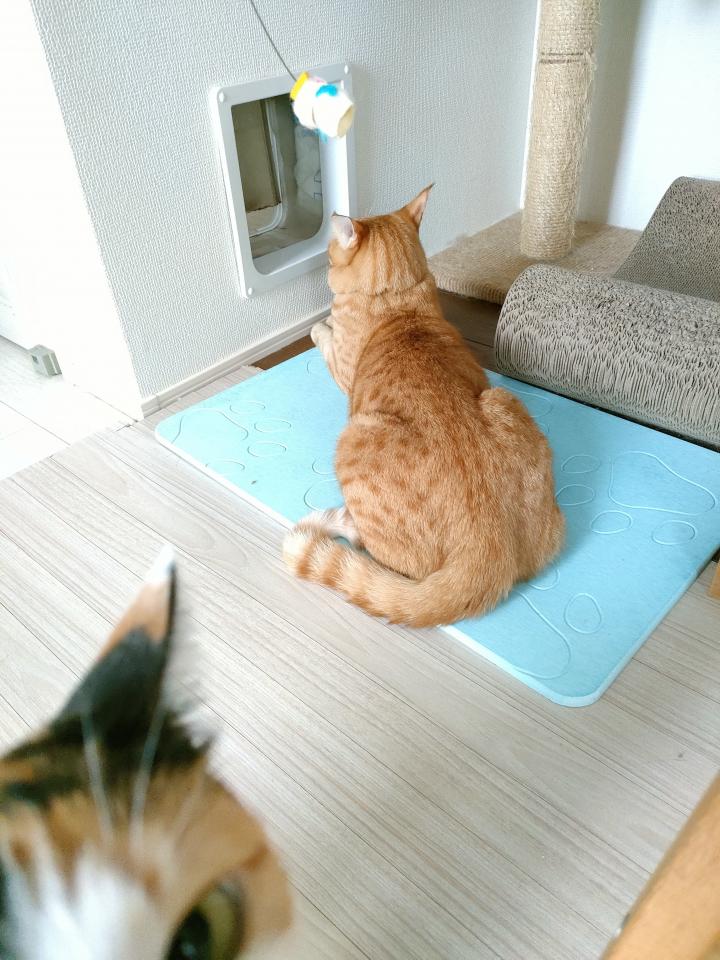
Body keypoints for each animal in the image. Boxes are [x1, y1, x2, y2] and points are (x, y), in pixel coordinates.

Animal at [284, 185, 564, 628]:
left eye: (328, 257)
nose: (324, 265)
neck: (397, 299)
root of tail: (488, 551)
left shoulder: (343, 368)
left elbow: (324, 335)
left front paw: (318, 326)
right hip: (502, 399)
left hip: (353, 437)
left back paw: (350, 527)